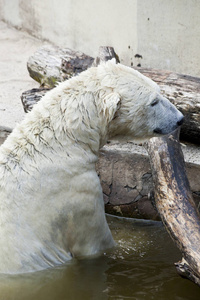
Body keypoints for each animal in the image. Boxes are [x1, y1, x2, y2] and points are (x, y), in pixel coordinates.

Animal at [0, 59, 183, 274]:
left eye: (160, 91)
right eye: (153, 101)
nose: (180, 119)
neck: (58, 145)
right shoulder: (79, 194)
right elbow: (96, 244)